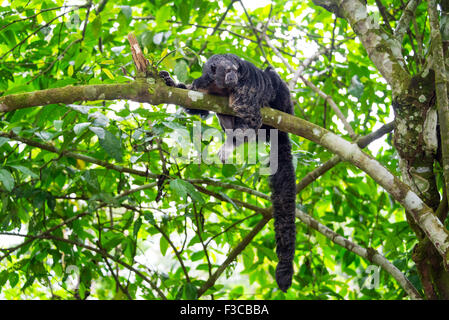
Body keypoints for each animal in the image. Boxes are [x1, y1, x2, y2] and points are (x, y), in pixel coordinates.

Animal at [159, 53, 296, 292]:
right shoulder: (203, 84)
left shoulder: (245, 88)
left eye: (236, 71)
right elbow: (197, 105)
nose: (232, 77)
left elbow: (250, 118)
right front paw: (171, 83)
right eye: (227, 71)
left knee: (271, 77)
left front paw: (230, 144)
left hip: (283, 106)